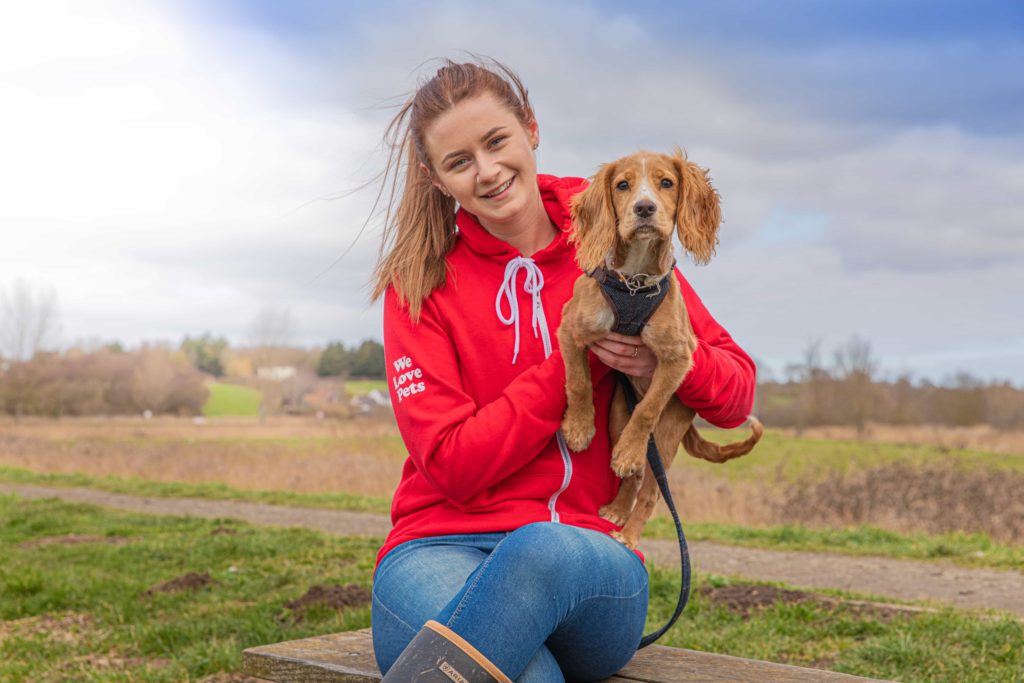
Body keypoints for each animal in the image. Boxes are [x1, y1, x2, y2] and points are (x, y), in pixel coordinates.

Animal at [557, 149, 765, 548]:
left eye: (666, 183)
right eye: (622, 185)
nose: (644, 208)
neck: (635, 283)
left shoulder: (677, 358)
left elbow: (649, 408)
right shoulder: (572, 329)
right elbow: (578, 381)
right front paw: (578, 428)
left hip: (667, 435)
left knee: (651, 489)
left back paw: (628, 534)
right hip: (616, 417)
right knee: (634, 473)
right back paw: (617, 510)